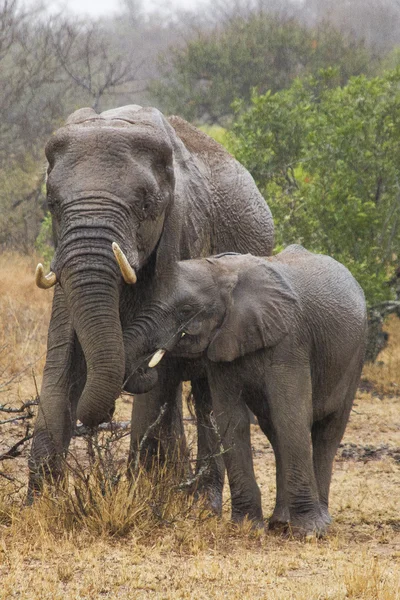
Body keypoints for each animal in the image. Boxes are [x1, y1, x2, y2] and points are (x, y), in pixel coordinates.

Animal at [26, 105, 274, 504]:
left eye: (145, 205)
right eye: (53, 204)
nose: (104, 414)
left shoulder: (182, 232)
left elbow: (160, 376)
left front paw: (139, 498)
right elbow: (62, 363)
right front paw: (40, 507)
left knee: (204, 394)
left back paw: (201, 502)